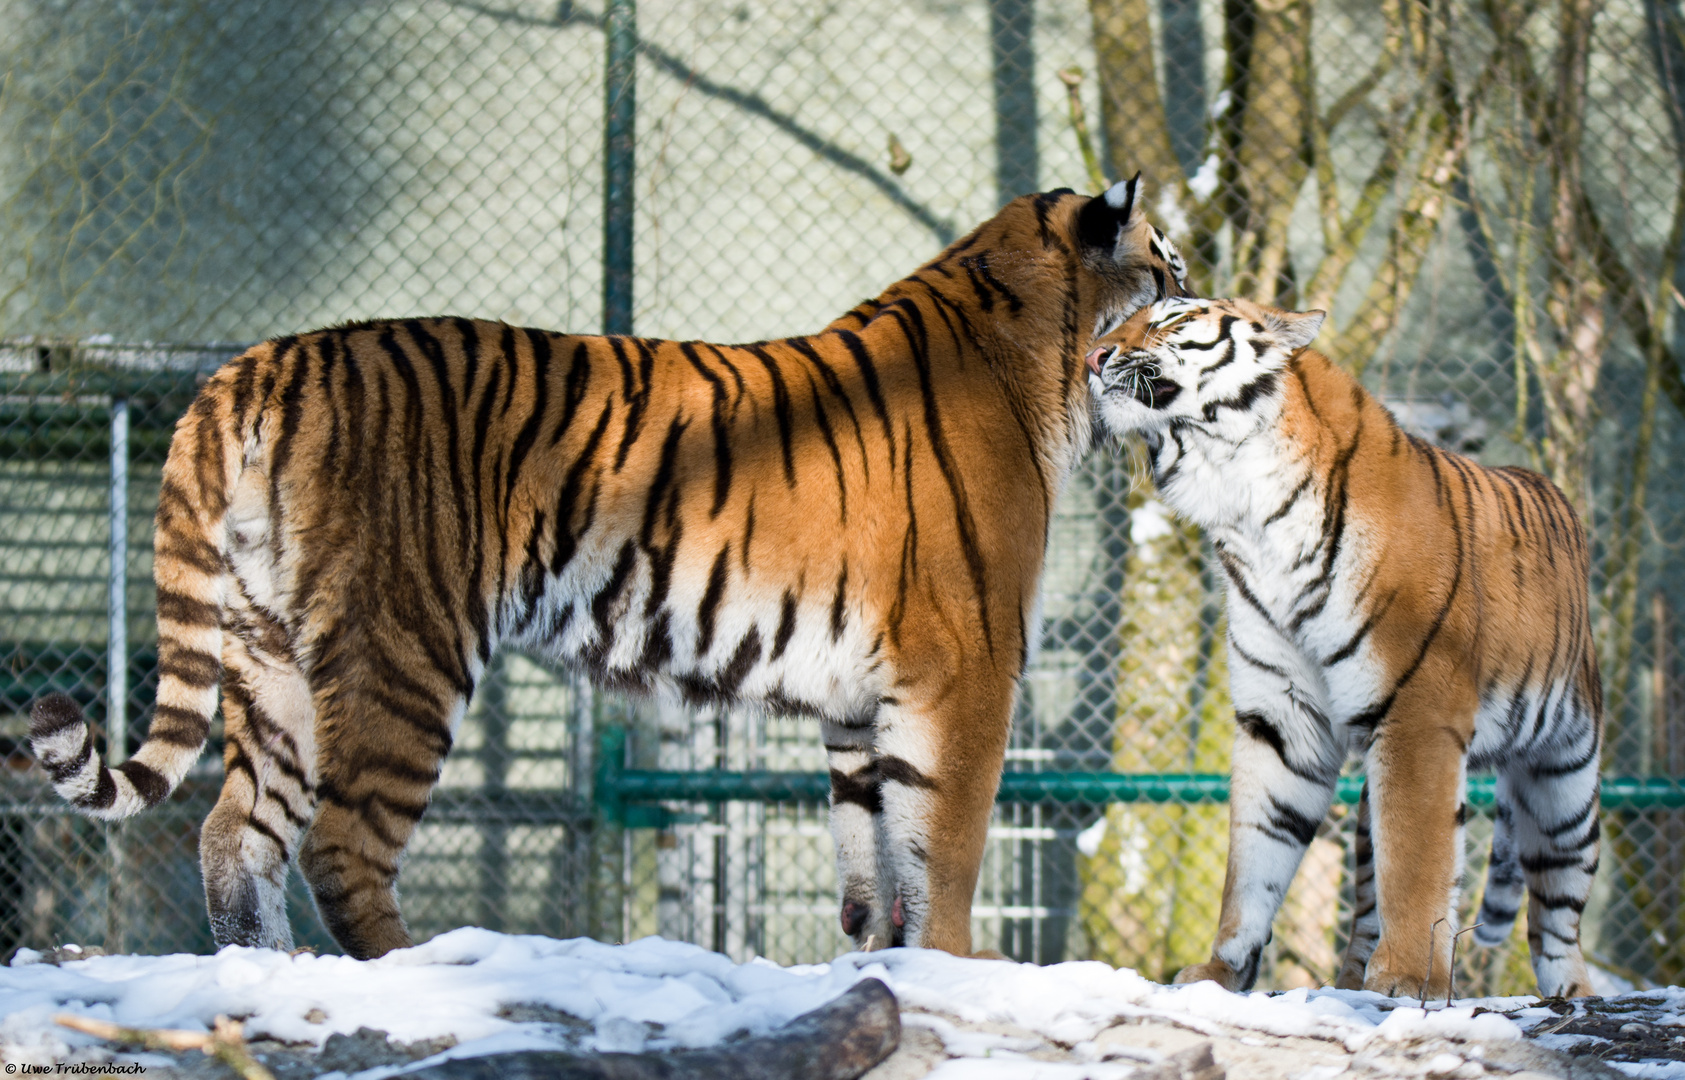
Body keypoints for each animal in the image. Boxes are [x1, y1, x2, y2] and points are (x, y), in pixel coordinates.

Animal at [26, 178, 1186, 957]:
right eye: (1167, 269)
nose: (1200, 294)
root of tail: (255, 362)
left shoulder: (861, 701)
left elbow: (875, 856)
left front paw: (880, 969)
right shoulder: (967, 668)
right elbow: (944, 845)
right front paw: (953, 967)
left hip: (267, 659)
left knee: (234, 837)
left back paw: (263, 975)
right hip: (403, 646)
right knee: (340, 848)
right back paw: (411, 974)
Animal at [1085, 294, 1597, 997]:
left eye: (1172, 319)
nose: (1090, 356)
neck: (1244, 501)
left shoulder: (1418, 714)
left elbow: (1416, 859)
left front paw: (1407, 979)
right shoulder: (1281, 717)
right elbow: (1255, 858)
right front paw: (1221, 969)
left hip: (1567, 777)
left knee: (1558, 913)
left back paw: (1571, 992)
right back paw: (1351, 979)